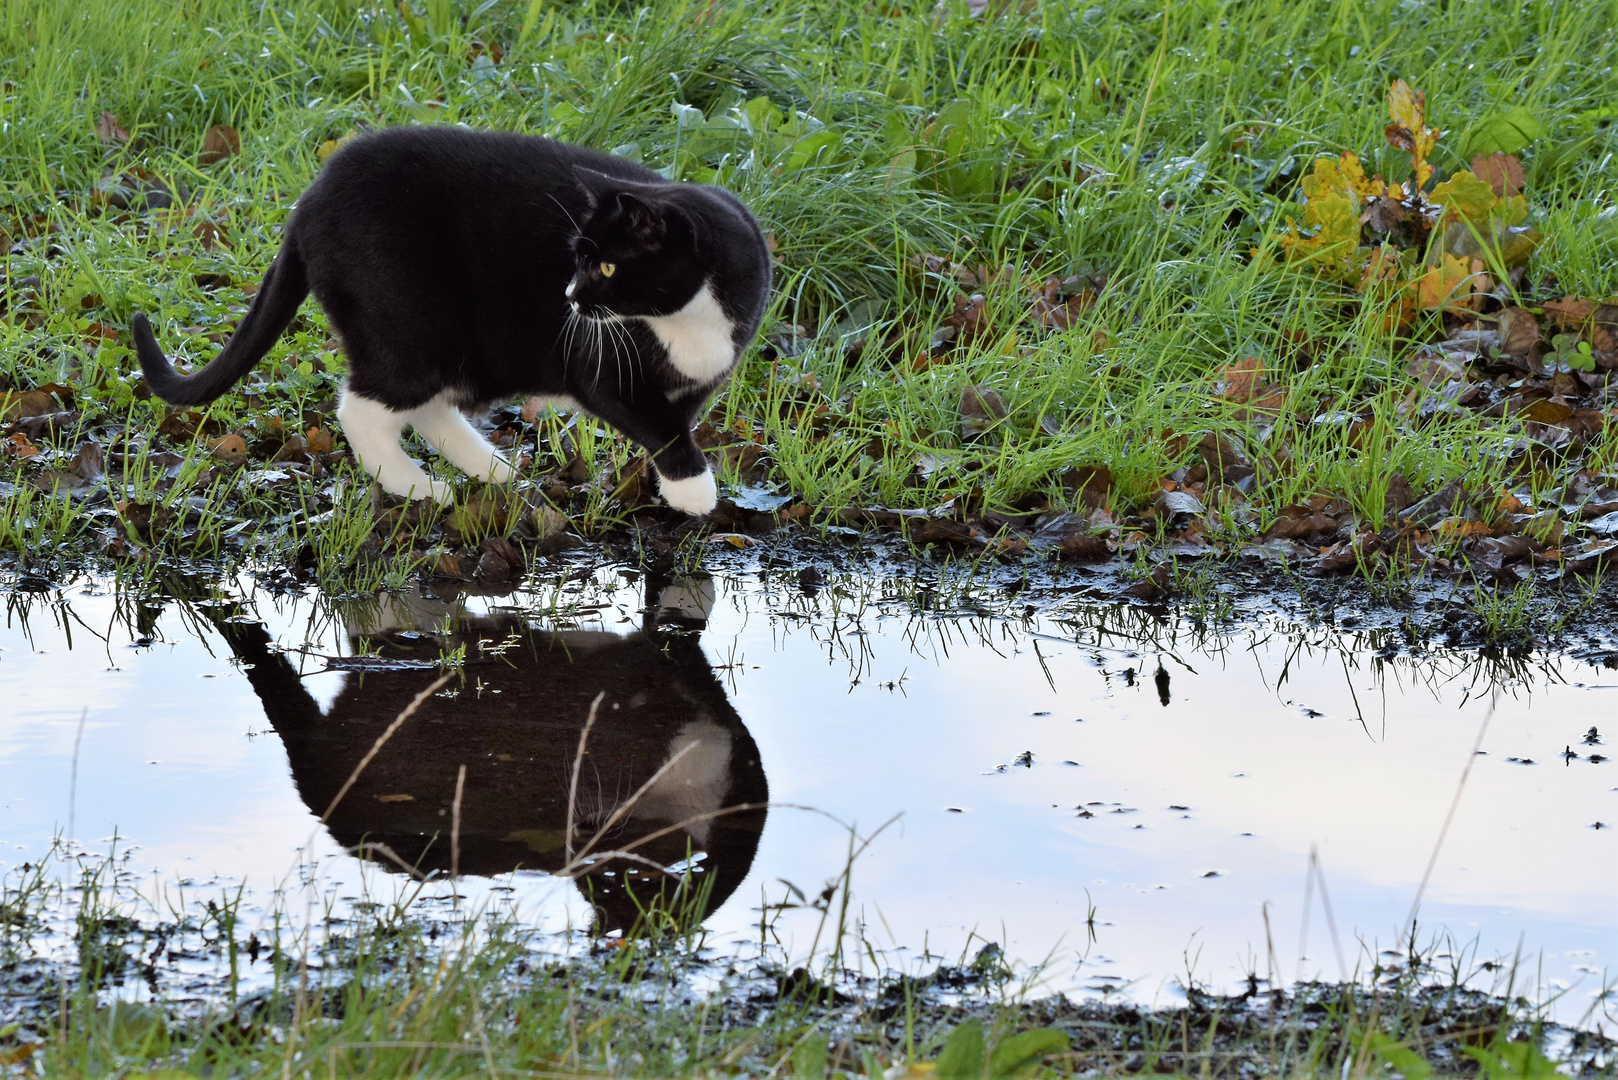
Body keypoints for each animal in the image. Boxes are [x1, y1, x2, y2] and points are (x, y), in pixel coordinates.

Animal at [126, 127, 770, 514]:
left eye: (606, 264)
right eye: (579, 259)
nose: (568, 295)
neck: (687, 321)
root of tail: (309, 196)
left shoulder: (699, 383)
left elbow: (674, 425)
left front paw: (663, 488)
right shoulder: (603, 369)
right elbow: (663, 428)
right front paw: (696, 493)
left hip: (455, 342)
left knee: (430, 404)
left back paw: (493, 470)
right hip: (412, 321)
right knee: (364, 407)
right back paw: (418, 486)